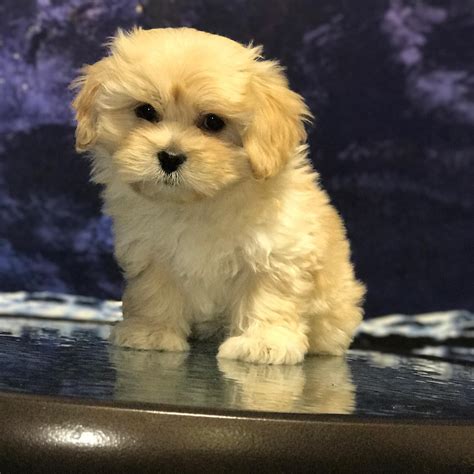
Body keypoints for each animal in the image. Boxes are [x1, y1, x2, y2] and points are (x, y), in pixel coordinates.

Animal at [72, 27, 364, 364]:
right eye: (145, 111)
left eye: (213, 122)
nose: (170, 157)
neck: (200, 202)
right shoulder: (151, 253)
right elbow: (154, 291)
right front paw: (152, 332)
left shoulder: (276, 252)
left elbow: (268, 296)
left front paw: (263, 343)